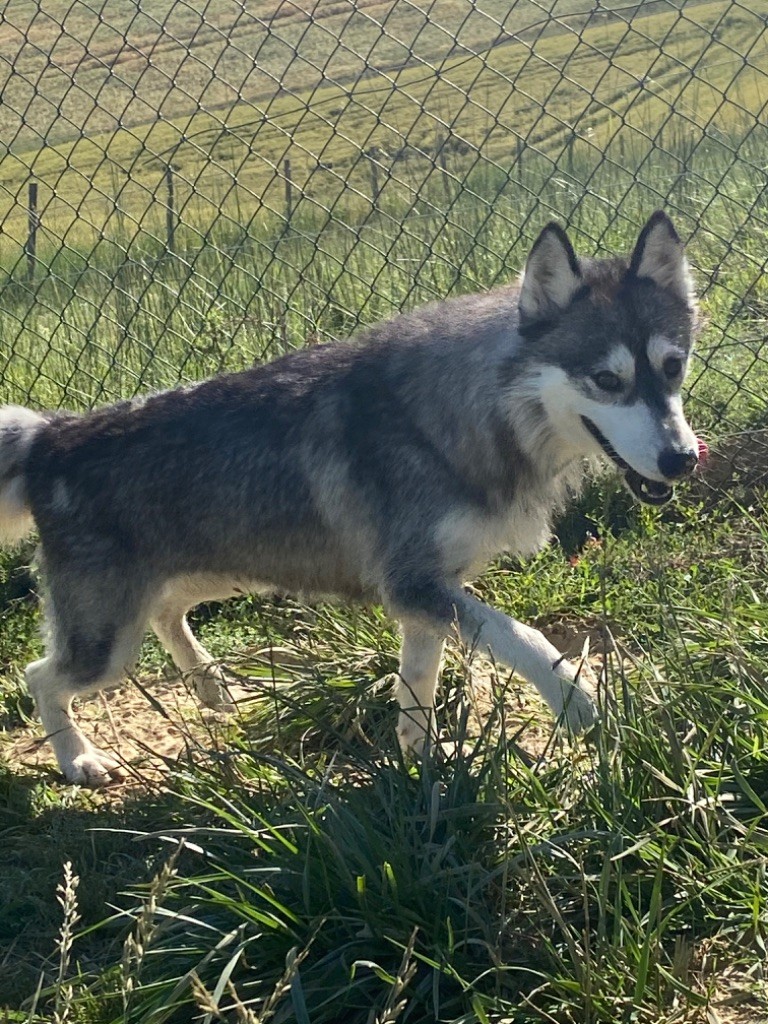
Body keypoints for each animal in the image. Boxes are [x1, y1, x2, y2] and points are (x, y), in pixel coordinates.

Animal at [0, 209, 700, 782]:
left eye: (673, 367)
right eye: (607, 380)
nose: (684, 460)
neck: (467, 415)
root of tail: (52, 435)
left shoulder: (429, 595)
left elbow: (417, 685)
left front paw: (421, 763)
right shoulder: (417, 586)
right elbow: (524, 637)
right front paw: (578, 702)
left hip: (221, 571)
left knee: (167, 609)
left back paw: (211, 687)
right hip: (107, 641)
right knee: (42, 676)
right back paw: (79, 760)